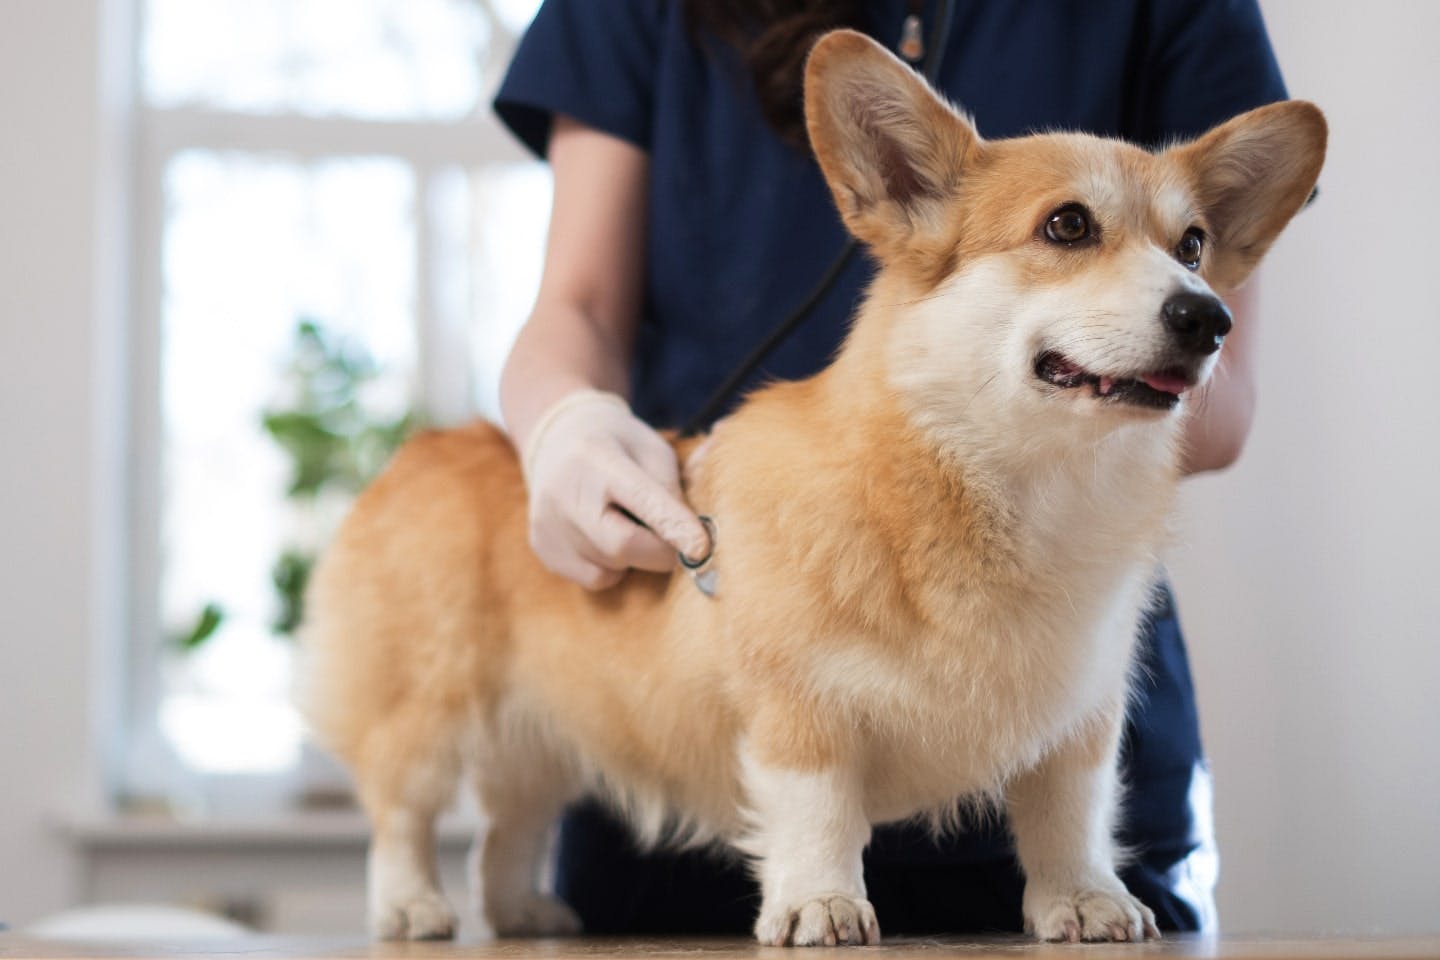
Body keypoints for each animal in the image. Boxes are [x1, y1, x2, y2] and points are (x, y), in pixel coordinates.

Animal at [300, 28, 1324, 944]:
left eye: (1192, 246)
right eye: (1067, 225)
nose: (1211, 319)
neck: (1012, 486)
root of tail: (425, 446)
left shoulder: (1082, 718)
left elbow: (1067, 817)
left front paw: (1085, 902)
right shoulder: (800, 709)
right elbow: (818, 813)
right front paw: (821, 906)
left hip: (544, 737)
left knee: (510, 827)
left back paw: (521, 911)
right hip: (427, 716)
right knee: (403, 816)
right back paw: (413, 907)